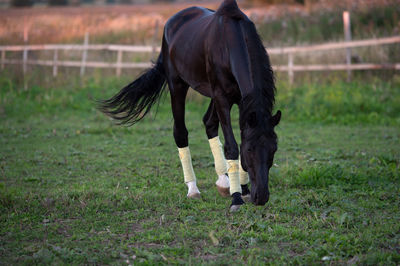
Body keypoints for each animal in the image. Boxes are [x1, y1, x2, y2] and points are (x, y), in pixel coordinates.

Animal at [99, 0, 282, 212]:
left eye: (273, 149)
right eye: (251, 150)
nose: (261, 197)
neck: (231, 42)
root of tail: (172, 22)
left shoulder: (238, 98)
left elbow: (236, 136)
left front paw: (242, 189)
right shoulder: (222, 97)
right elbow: (232, 146)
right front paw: (236, 197)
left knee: (209, 123)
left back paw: (223, 182)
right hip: (177, 84)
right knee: (181, 133)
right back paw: (193, 189)